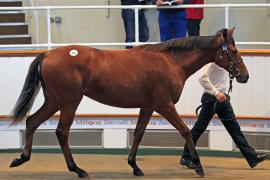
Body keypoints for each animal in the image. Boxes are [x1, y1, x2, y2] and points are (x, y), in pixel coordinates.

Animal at [8, 27, 249, 178]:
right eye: (234, 51)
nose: (245, 76)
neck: (170, 62)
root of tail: (49, 54)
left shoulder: (148, 106)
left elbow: (139, 133)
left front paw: (134, 166)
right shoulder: (164, 105)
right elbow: (186, 131)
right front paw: (198, 166)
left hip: (54, 101)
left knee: (32, 122)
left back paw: (21, 158)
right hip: (69, 102)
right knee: (61, 132)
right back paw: (77, 169)